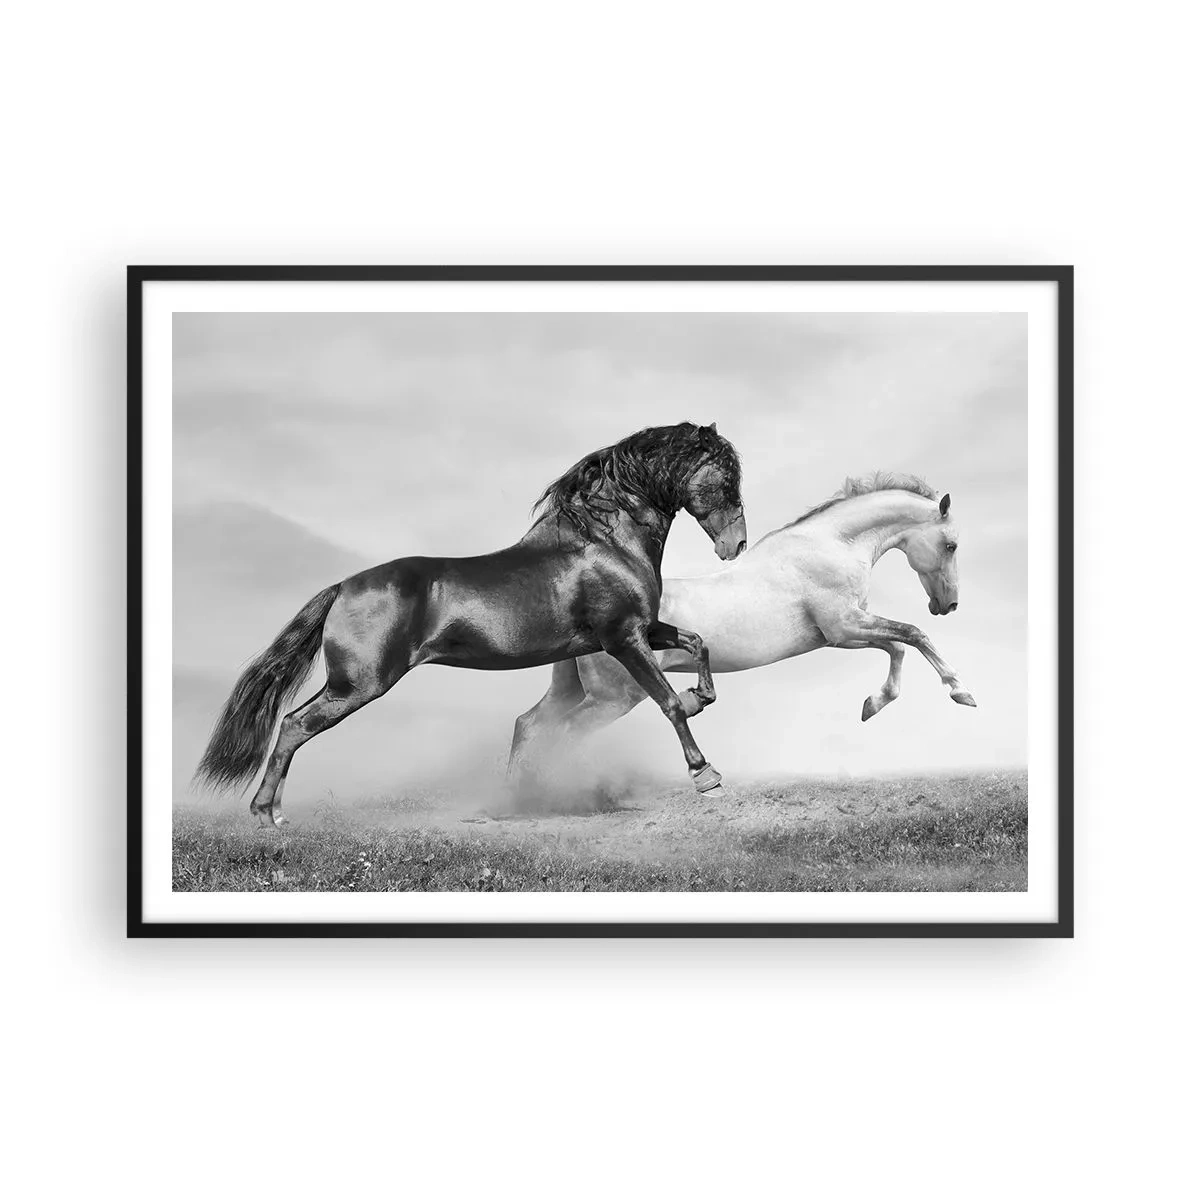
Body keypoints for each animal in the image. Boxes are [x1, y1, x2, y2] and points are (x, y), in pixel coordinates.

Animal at [195, 421, 748, 826]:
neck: (604, 543)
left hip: (351, 683)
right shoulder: (623, 638)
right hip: (358, 684)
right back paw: (267, 815)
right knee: (294, 724)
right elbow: (668, 703)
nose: (736, 545)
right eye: (726, 478)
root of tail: (344, 587)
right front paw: (706, 775)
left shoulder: (644, 628)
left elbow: (697, 643)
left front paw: (702, 697)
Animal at [507, 473, 975, 781]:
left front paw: (872, 704)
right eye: (951, 545)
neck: (831, 547)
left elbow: (899, 646)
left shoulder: (848, 631)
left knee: (530, 725)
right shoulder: (844, 630)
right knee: (563, 734)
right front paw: (961, 692)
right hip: (612, 699)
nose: (948, 605)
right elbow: (912, 636)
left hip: (575, 691)